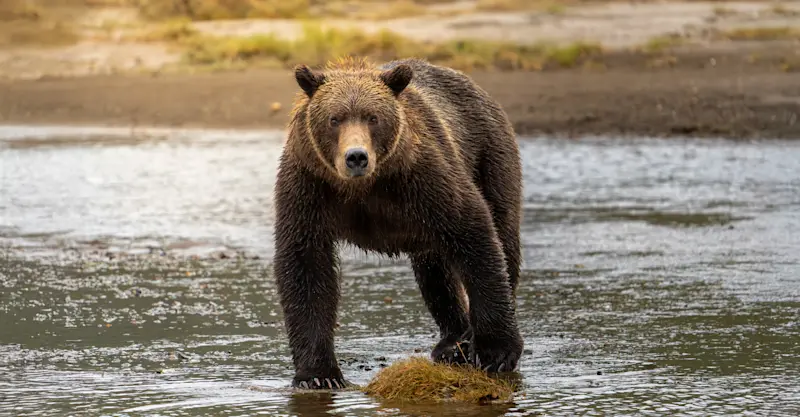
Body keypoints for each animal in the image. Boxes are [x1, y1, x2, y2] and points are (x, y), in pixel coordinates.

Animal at [273, 56, 523, 390]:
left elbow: (473, 231)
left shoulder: (423, 176)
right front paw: (318, 375)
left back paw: (464, 340)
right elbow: (305, 264)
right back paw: (453, 341)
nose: (356, 157)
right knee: (435, 271)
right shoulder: (308, 186)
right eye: (334, 119)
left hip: (489, 156)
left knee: (503, 236)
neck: (364, 187)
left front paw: (497, 353)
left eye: (373, 117)